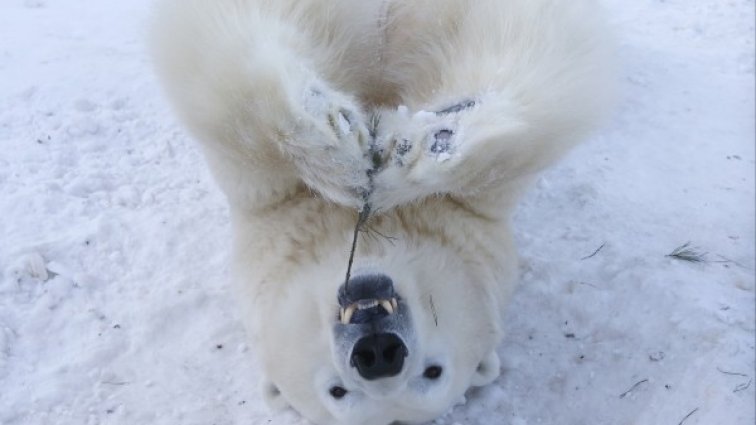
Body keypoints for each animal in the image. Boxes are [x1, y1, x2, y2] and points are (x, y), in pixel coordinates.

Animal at [151, 1, 612, 422]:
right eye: (337, 392)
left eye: (433, 373)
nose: (378, 353)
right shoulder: (265, 199)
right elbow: (232, 96)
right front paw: (336, 140)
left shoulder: (478, 209)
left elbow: (525, 70)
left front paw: (417, 148)